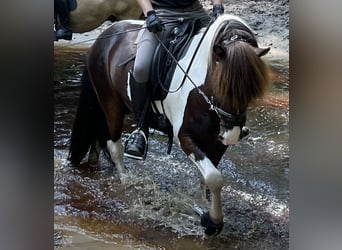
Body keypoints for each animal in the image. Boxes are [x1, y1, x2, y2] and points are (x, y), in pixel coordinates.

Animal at [69, 14, 272, 235]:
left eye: (251, 91)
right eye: (223, 85)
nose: (233, 134)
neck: (201, 89)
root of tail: (104, 37)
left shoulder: (217, 143)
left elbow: (208, 180)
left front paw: (205, 208)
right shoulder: (184, 137)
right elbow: (214, 177)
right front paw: (213, 222)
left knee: (99, 137)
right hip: (111, 104)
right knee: (114, 145)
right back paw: (127, 179)